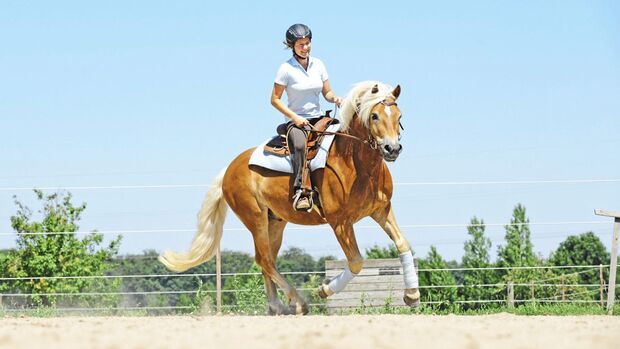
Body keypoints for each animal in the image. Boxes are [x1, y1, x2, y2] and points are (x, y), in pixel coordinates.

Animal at [160, 80, 422, 314]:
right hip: (255, 218)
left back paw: (276, 306)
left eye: (399, 115)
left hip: (275, 222)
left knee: (266, 260)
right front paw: (324, 289)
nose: (392, 149)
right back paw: (296, 302)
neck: (356, 163)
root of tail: (230, 168)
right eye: (375, 116)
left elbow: (403, 244)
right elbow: (356, 261)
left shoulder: (382, 210)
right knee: (265, 259)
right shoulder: (340, 222)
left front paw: (412, 294)